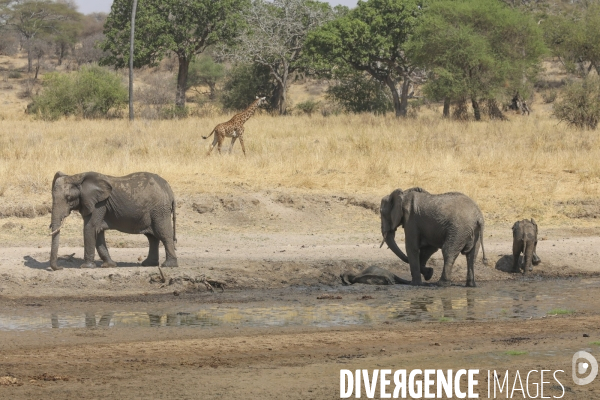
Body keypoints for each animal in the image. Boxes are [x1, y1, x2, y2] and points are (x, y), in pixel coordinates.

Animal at [49, 170, 177, 270]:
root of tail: (170, 190)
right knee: (152, 238)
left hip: (160, 210)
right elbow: (98, 231)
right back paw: (148, 264)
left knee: (163, 234)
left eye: (68, 198)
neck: (76, 177)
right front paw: (109, 265)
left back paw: (168, 265)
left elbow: (90, 228)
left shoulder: (98, 204)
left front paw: (86, 267)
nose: (61, 267)